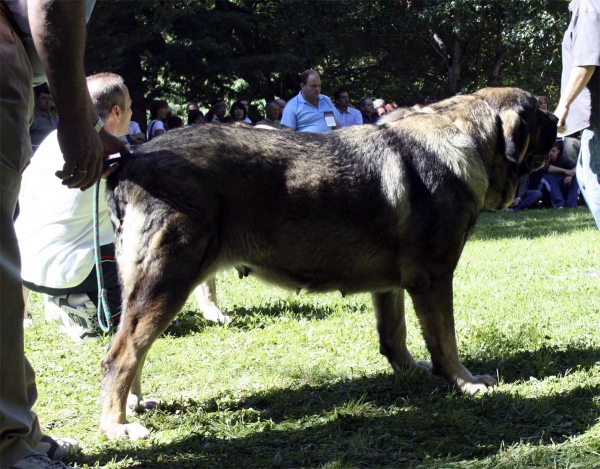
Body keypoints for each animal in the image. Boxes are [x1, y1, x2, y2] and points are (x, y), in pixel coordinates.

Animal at [102, 87, 556, 438]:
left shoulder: (390, 285)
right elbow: (445, 341)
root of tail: (130, 160)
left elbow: (395, 336)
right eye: (538, 111)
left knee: (135, 349)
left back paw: (134, 405)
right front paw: (464, 381)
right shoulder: (435, 278)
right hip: (167, 282)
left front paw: (409, 370)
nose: (557, 118)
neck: (464, 139)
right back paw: (116, 425)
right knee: (120, 355)